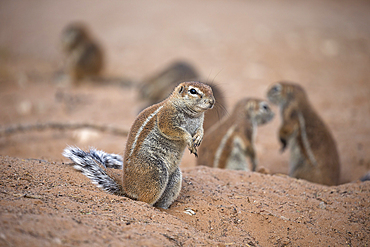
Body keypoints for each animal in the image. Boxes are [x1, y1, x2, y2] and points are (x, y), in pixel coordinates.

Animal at [62, 81, 215, 208]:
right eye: (193, 91)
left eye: (210, 89)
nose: (212, 102)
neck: (193, 115)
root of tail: (127, 190)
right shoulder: (166, 118)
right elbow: (173, 130)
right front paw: (189, 139)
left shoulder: (199, 123)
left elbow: (200, 130)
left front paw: (198, 138)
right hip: (156, 173)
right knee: (144, 200)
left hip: (175, 177)